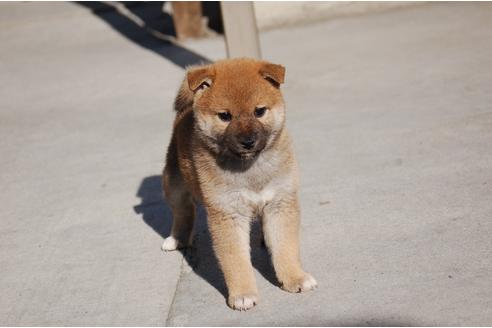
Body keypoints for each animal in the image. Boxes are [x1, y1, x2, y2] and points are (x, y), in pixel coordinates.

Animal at [160, 57, 316, 312]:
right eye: (225, 116)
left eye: (259, 111)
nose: (248, 141)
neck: (250, 169)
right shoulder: (227, 213)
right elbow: (236, 261)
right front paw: (243, 293)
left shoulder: (280, 203)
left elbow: (285, 247)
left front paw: (295, 277)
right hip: (174, 184)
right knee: (184, 211)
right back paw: (177, 238)